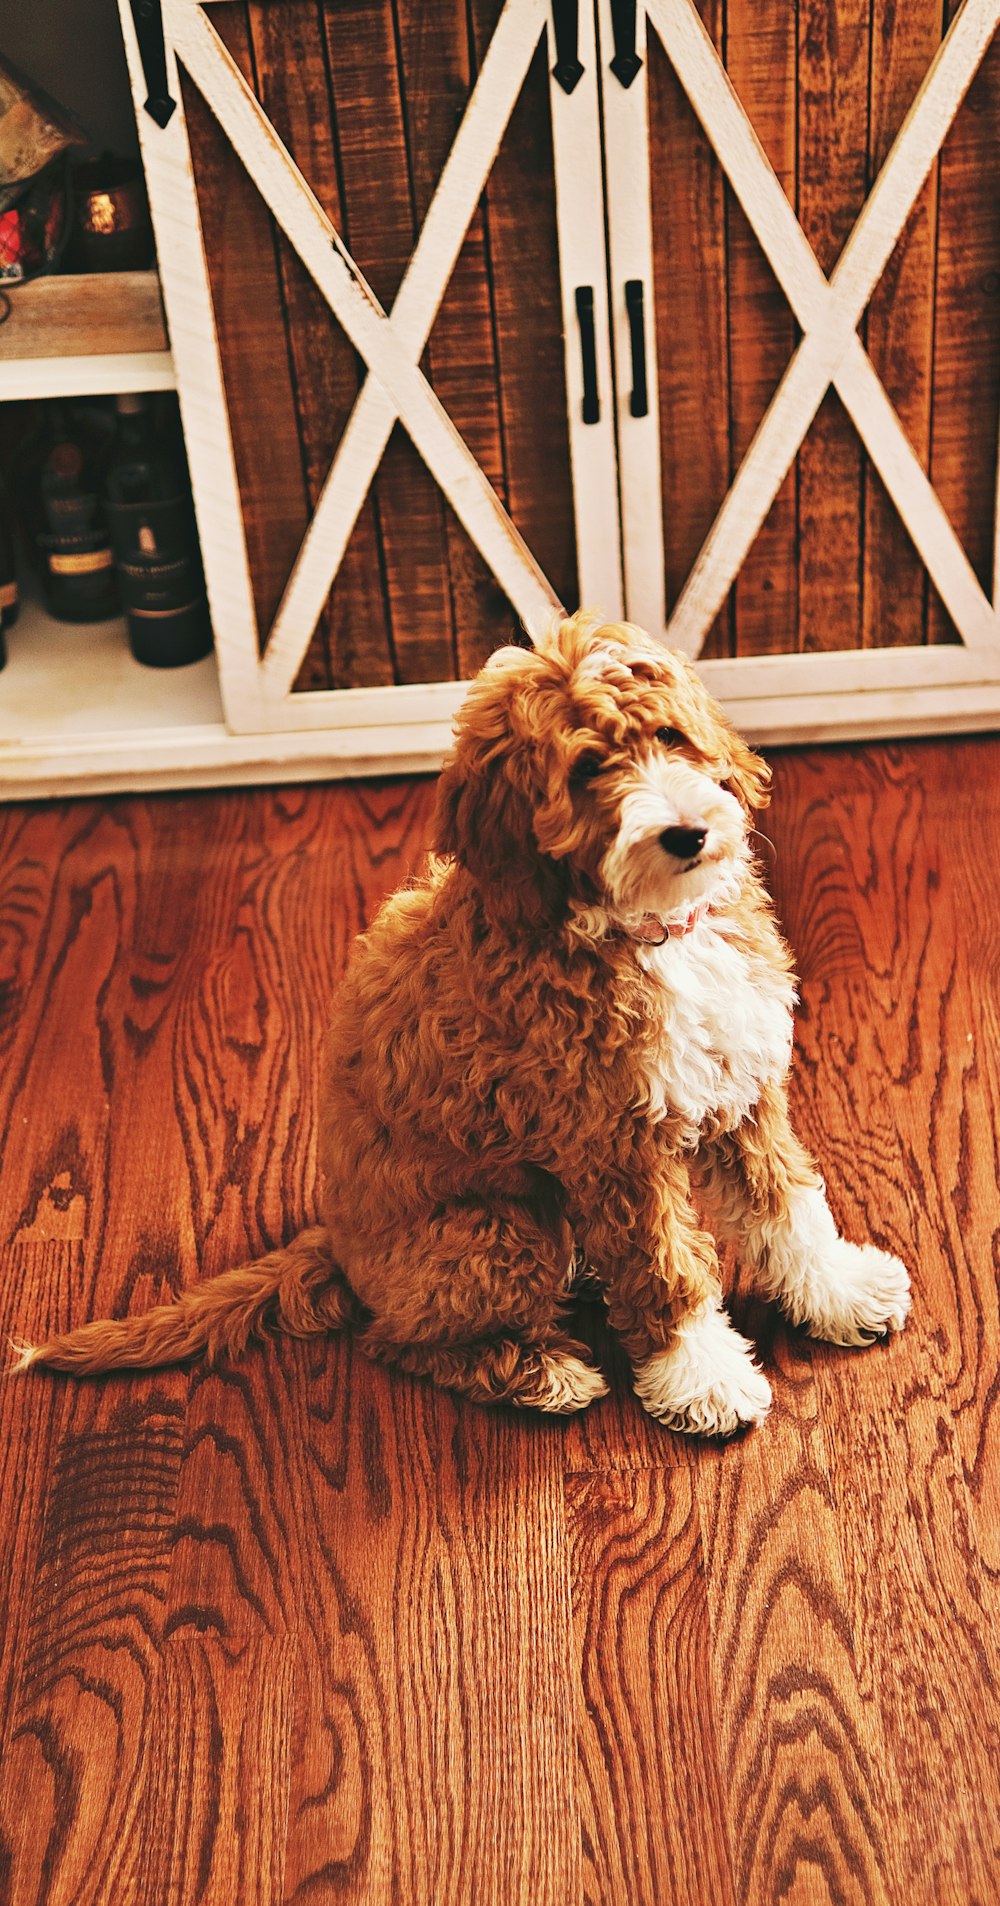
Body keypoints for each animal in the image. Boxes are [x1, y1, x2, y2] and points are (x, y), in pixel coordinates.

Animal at [15, 609, 906, 1433]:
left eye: (668, 736)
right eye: (588, 769)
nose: (687, 834)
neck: (646, 931)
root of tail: (337, 1245)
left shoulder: (739, 1086)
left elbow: (786, 1206)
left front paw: (839, 1291)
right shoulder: (614, 1144)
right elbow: (666, 1268)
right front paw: (703, 1377)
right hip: (501, 1232)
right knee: (397, 1342)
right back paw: (542, 1373)